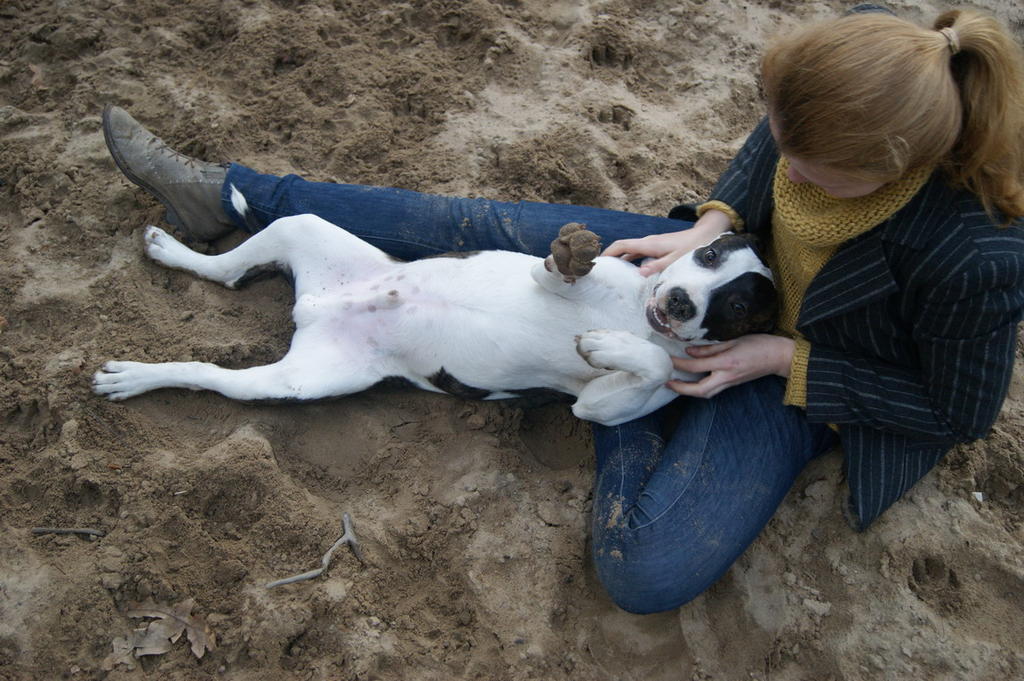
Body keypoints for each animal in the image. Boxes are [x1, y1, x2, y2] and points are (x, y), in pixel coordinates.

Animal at [93, 192, 776, 426]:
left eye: (739, 306)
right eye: (708, 253)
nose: (682, 301)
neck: (640, 316)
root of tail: (313, 309)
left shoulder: (599, 406)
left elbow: (652, 365)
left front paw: (608, 345)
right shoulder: (551, 275)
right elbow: (557, 272)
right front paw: (572, 259)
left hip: (299, 380)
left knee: (210, 369)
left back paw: (136, 376)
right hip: (302, 227)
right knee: (225, 271)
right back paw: (170, 252)